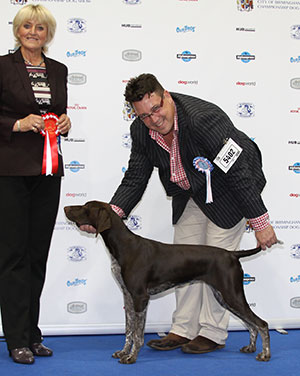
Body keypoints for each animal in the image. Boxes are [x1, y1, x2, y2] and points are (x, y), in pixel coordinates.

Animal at [64, 201, 270, 362]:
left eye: (85, 207)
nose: (65, 207)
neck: (123, 246)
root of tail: (232, 254)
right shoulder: (128, 298)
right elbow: (129, 330)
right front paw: (123, 352)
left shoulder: (140, 298)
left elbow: (138, 333)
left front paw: (131, 357)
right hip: (224, 296)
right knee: (251, 324)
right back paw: (251, 348)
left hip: (231, 294)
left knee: (261, 323)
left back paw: (264, 354)